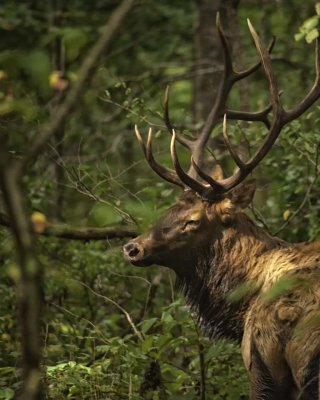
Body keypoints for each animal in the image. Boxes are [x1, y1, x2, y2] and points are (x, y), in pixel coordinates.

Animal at [122, 14, 320, 398]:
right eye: (170, 208)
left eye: (192, 221)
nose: (133, 247)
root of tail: (289, 313)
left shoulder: (253, 359)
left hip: (270, 365)